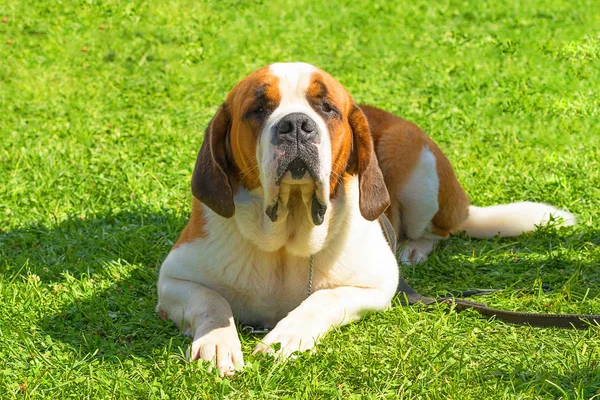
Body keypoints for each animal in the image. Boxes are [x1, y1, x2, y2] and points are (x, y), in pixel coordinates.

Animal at [156, 61, 576, 376]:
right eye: (258, 109)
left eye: (326, 108)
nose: (296, 126)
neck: (289, 235)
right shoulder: (173, 278)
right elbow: (210, 301)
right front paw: (216, 343)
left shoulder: (377, 284)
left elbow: (323, 299)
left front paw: (286, 336)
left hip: (419, 163)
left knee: (438, 230)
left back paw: (415, 248)